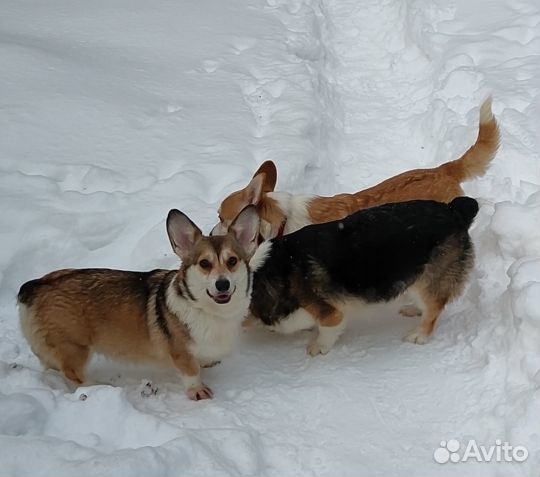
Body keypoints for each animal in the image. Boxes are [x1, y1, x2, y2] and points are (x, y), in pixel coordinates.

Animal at [16, 208, 260, 398]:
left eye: (232, 261)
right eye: (204, 264)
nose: (222, 284)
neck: (211, 311)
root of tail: (35, 285)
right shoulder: (181, 352)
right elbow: (191, 371)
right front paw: (197, 391)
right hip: (75, 347)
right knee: (72, 373)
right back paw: (97, 387)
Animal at [238, 194, 478, 354]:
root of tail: (455, 210)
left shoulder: (330, 313)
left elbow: (327, 330)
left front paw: (317, 347)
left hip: (429, 281)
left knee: (433, 309)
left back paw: (419, 334)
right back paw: (413, 308)